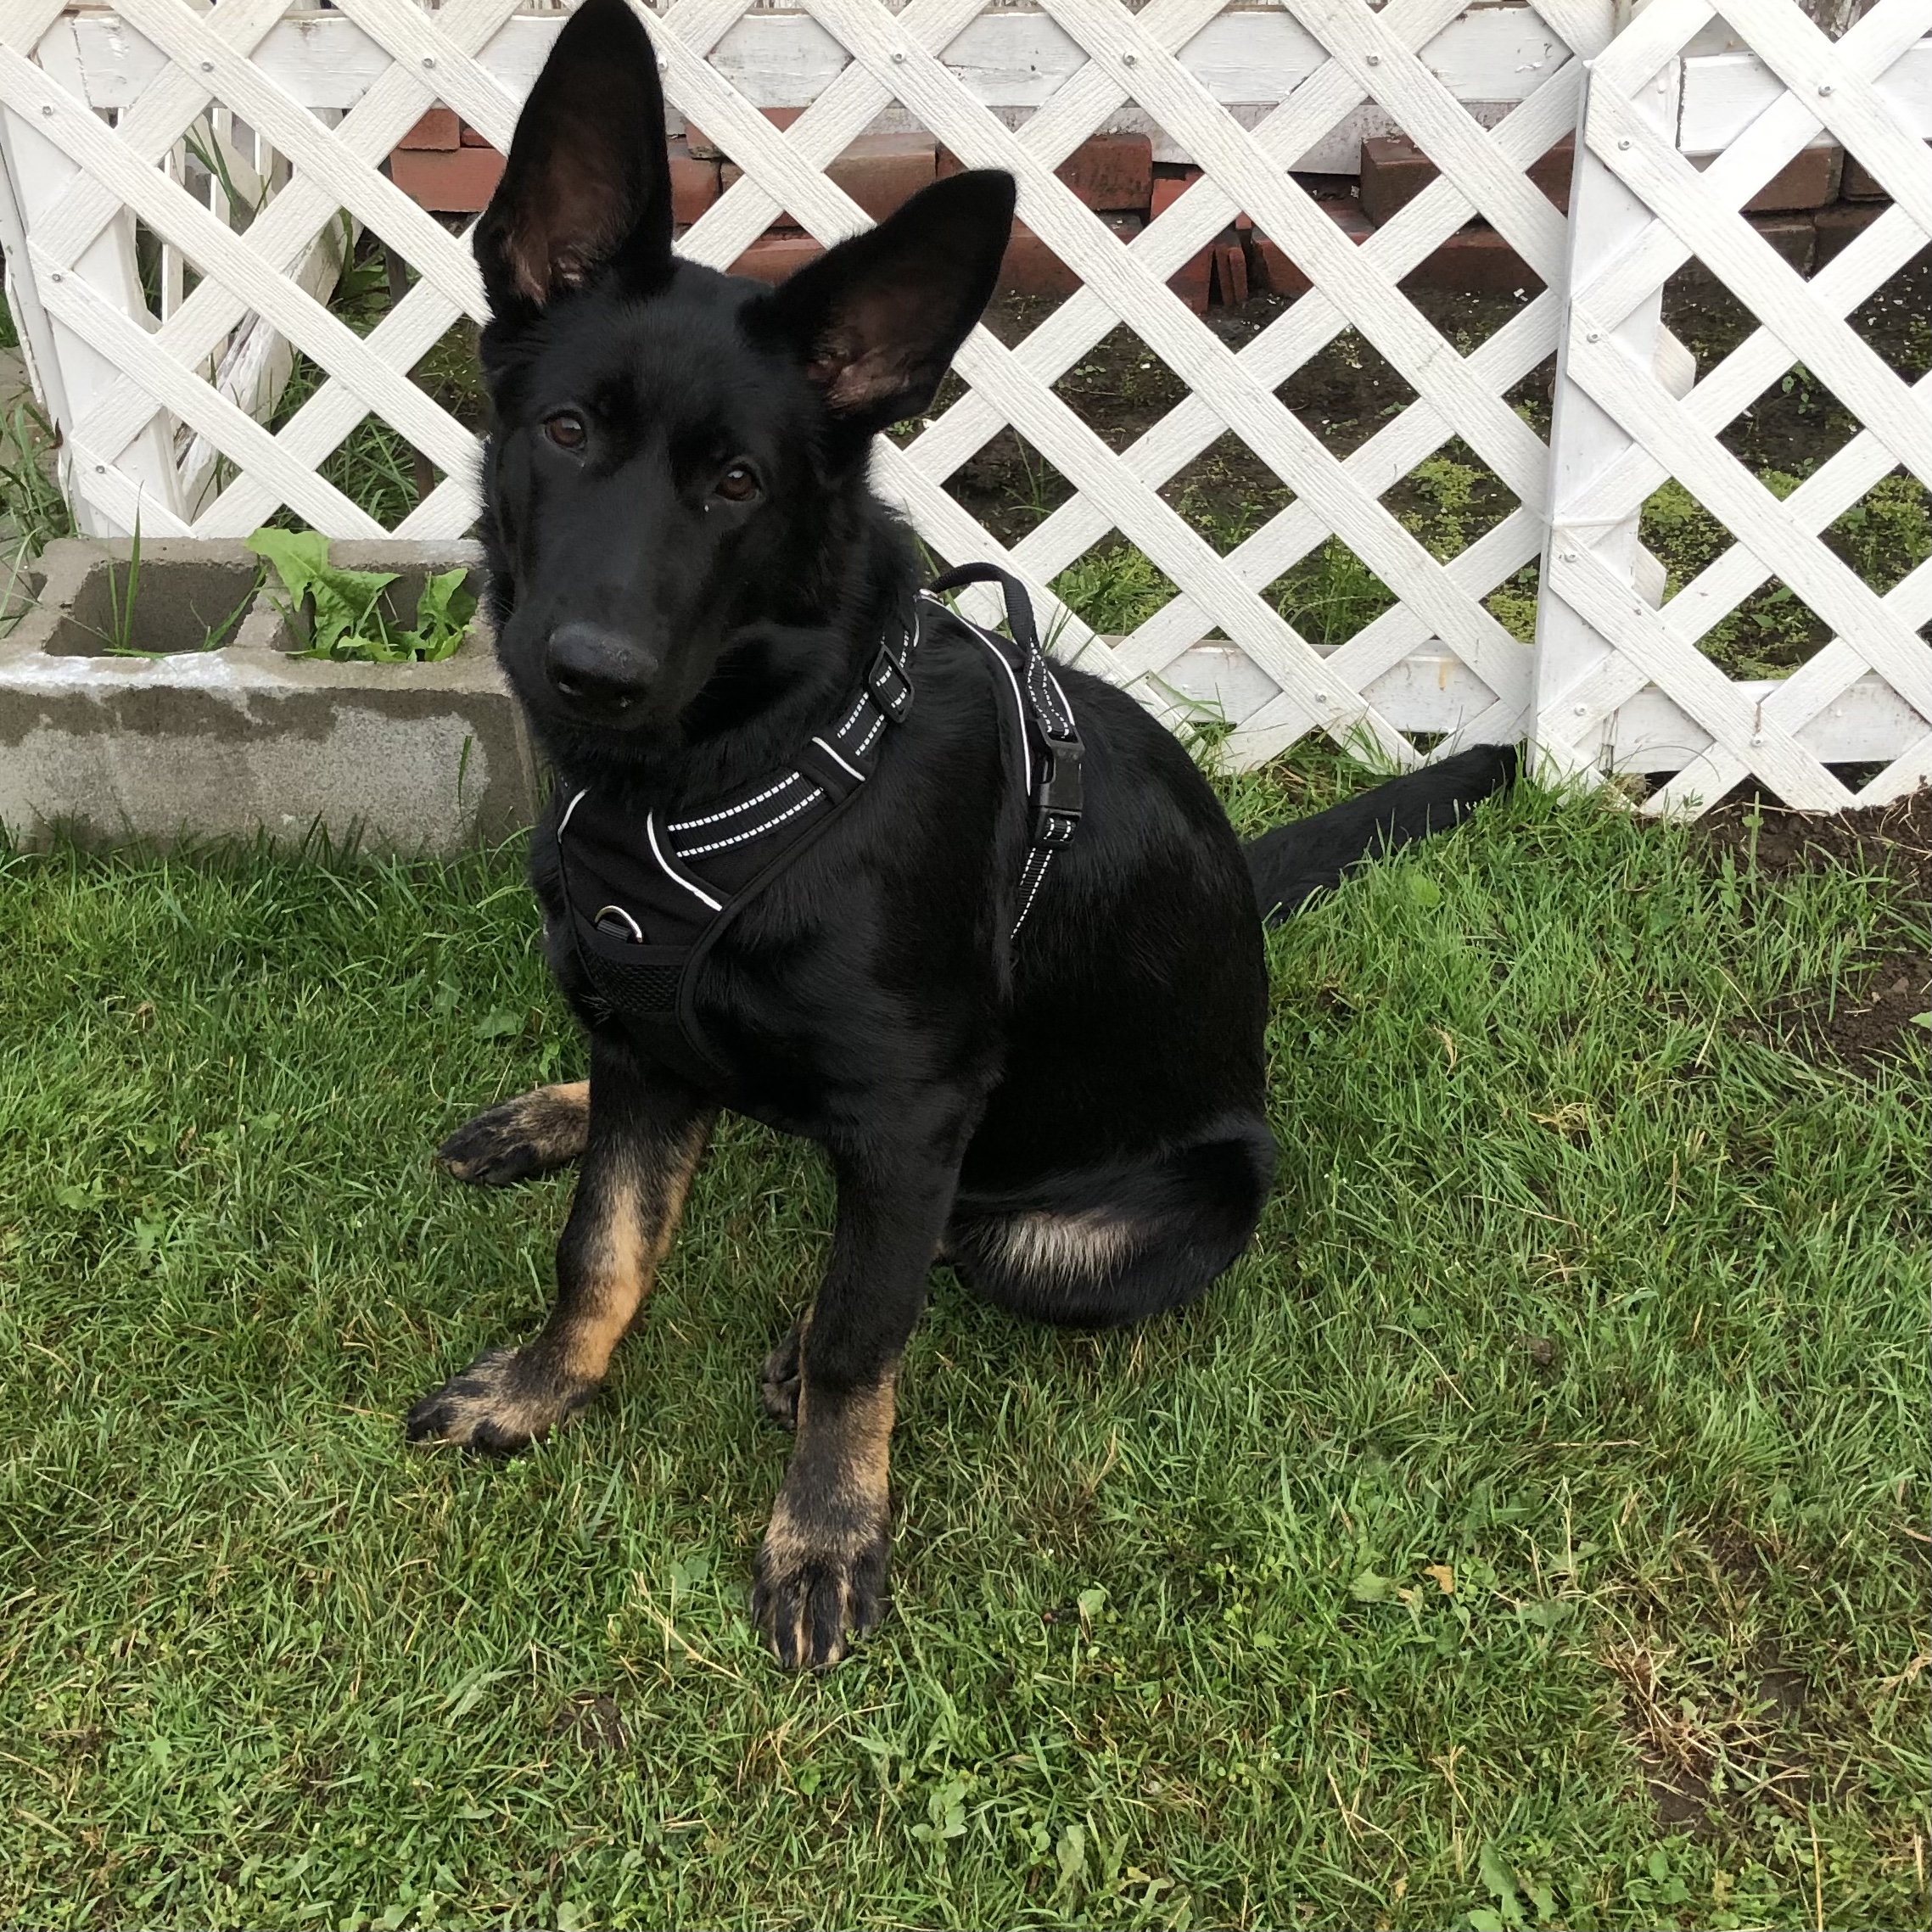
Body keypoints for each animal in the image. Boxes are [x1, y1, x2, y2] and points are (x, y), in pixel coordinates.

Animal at [405, 0, 1516, 1670]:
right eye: (566, 429)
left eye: (739, 485)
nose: (587, 668)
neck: (733, 763)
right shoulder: (650, 1042)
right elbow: (602, 1244)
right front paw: (543, 1387)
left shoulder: (914, 1108)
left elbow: (865, 1336)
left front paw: (823, 1533)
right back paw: (555, 1111)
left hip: (1118, 1220)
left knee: (947, 1243)